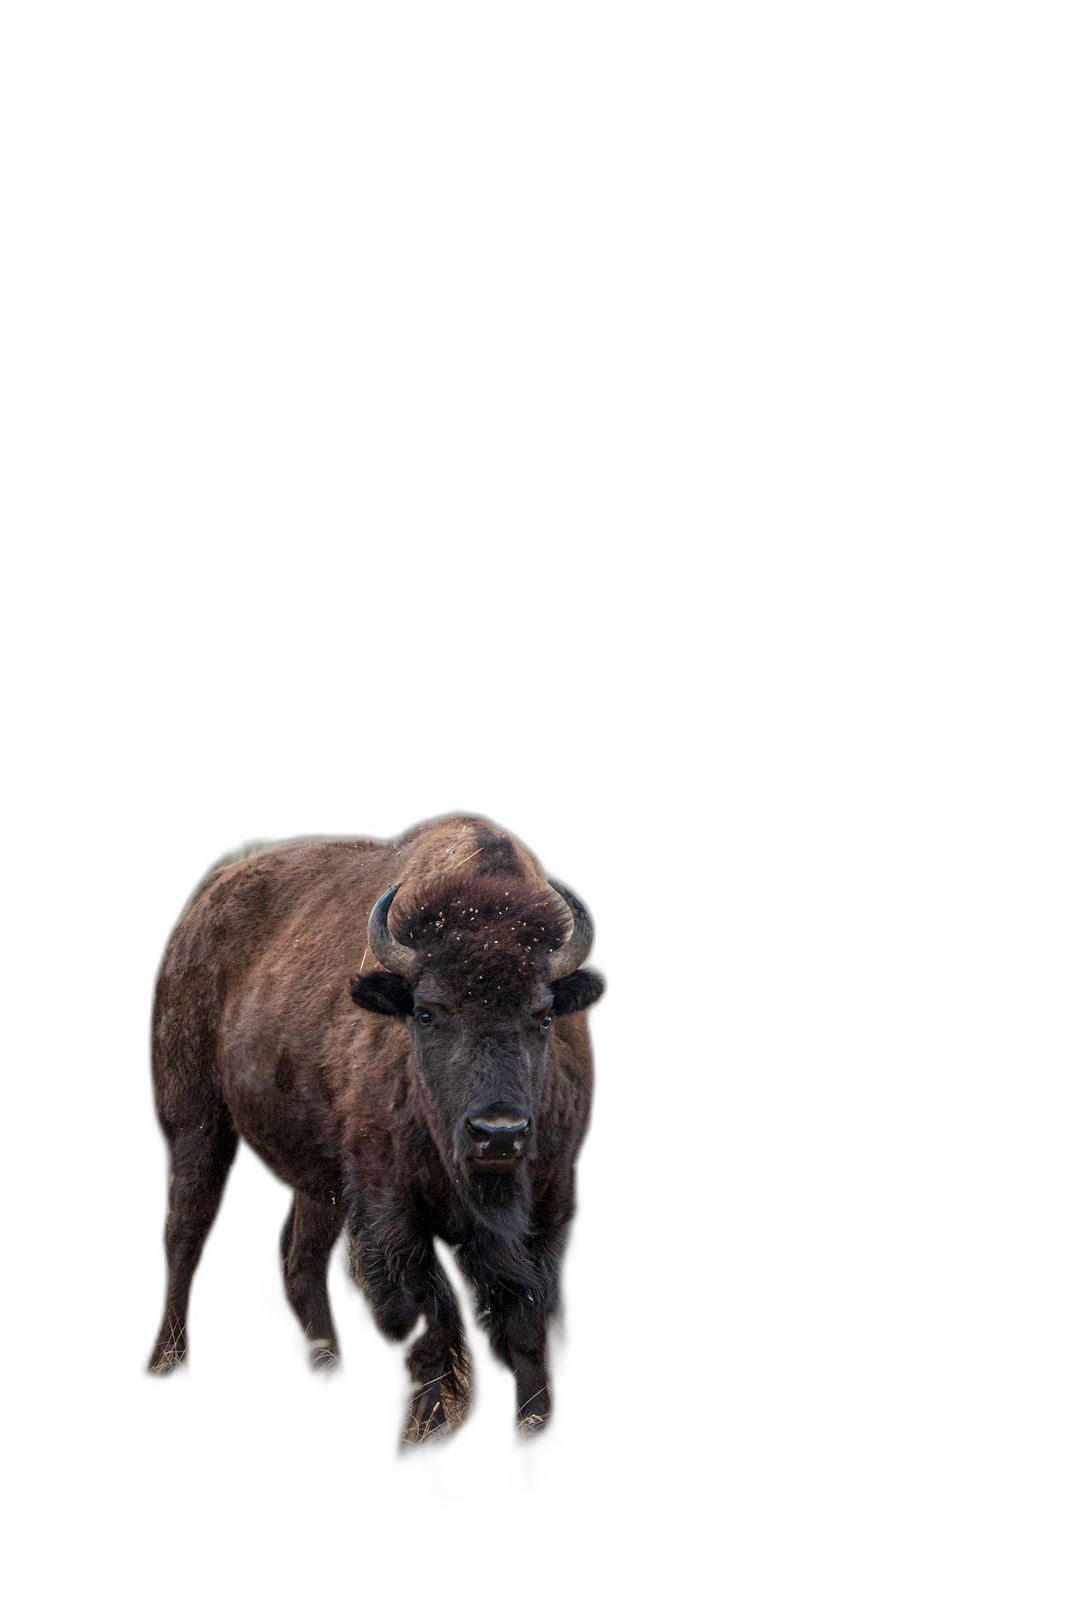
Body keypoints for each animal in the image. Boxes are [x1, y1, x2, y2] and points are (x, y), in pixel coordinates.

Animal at [144, 816, 605, 1451]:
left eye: (543, 1015)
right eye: (427, 1012)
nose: (498, 1133)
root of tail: (207, 898)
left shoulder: (549, 1200)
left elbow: (527, 1318)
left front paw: (533, 1424)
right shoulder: (389, 1206)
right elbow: (425, 1318)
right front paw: (426, 1428)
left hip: (320, 1178)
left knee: (301, 1257)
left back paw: (328, 1366)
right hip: (196, 1122)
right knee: (186, 1234)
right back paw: (167, 1359)